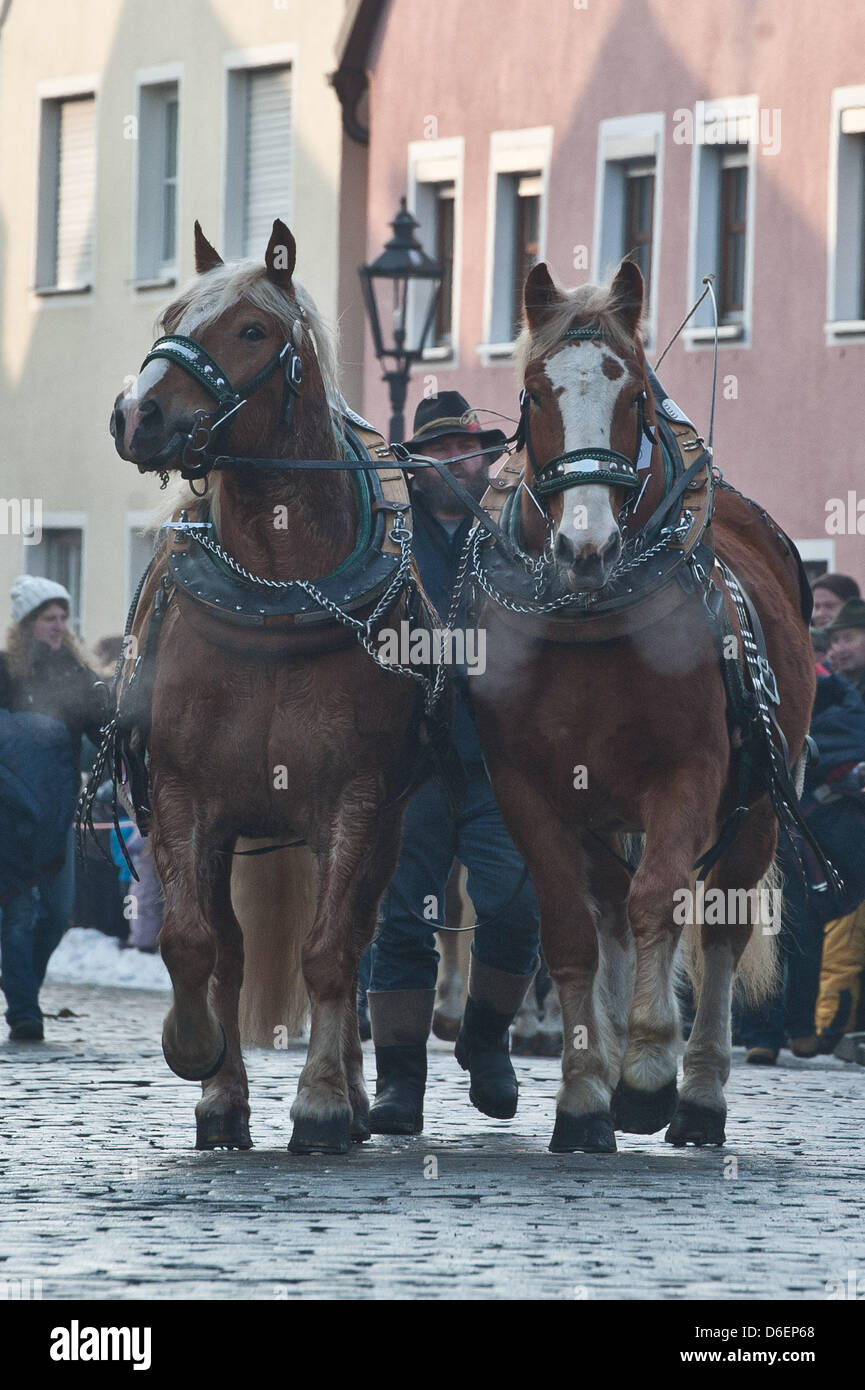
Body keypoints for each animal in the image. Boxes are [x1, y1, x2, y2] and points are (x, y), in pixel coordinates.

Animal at [111, 216, 422, 1150]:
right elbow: (194, 943)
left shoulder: (356, 798)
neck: (278, 597)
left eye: (251, 330)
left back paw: (348, 1095)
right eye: (170, 314)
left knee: (350, 940)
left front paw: (321, 1102)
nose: (136, 414)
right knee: (234, 949)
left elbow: (328, 952)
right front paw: (201, 1063)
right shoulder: (182, 797)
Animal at [475, 258, 812, 1150]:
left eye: (631, 396)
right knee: (610, 914)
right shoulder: (527, 790)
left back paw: (696, 1094)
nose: (583, 549)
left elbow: (662, 896)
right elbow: (571, 927)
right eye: (534, 392)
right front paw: (585, 1093)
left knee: (715, 925)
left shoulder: (689, 775)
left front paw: (650, 1069)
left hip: (757, 805)